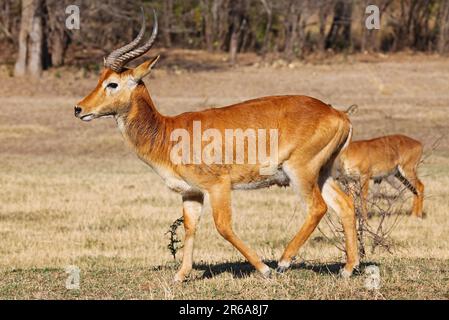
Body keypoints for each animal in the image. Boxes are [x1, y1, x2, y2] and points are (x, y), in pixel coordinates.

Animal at [74, 8, 360, 282]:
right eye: (100, 78)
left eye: (113, 83)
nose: (79, 109)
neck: (167, 133)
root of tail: (339, 114)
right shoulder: (191, 192)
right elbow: (190, 227)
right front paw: (180, 276)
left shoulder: (218, 186)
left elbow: (223, 226)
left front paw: (264, 270)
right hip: (322, 174)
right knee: (345, 205)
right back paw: (347, 269)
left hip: (300, 172)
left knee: (317, 208)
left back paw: (283, 263)